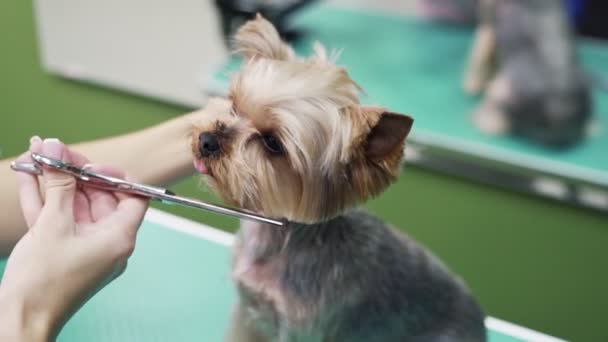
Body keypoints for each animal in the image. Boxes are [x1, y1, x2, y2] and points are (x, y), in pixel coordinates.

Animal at [190, 14, 484, 340]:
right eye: (233, 105)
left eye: (273, 143)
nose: (206, 141)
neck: (277, 240)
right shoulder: (248, 314)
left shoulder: (299, 331)